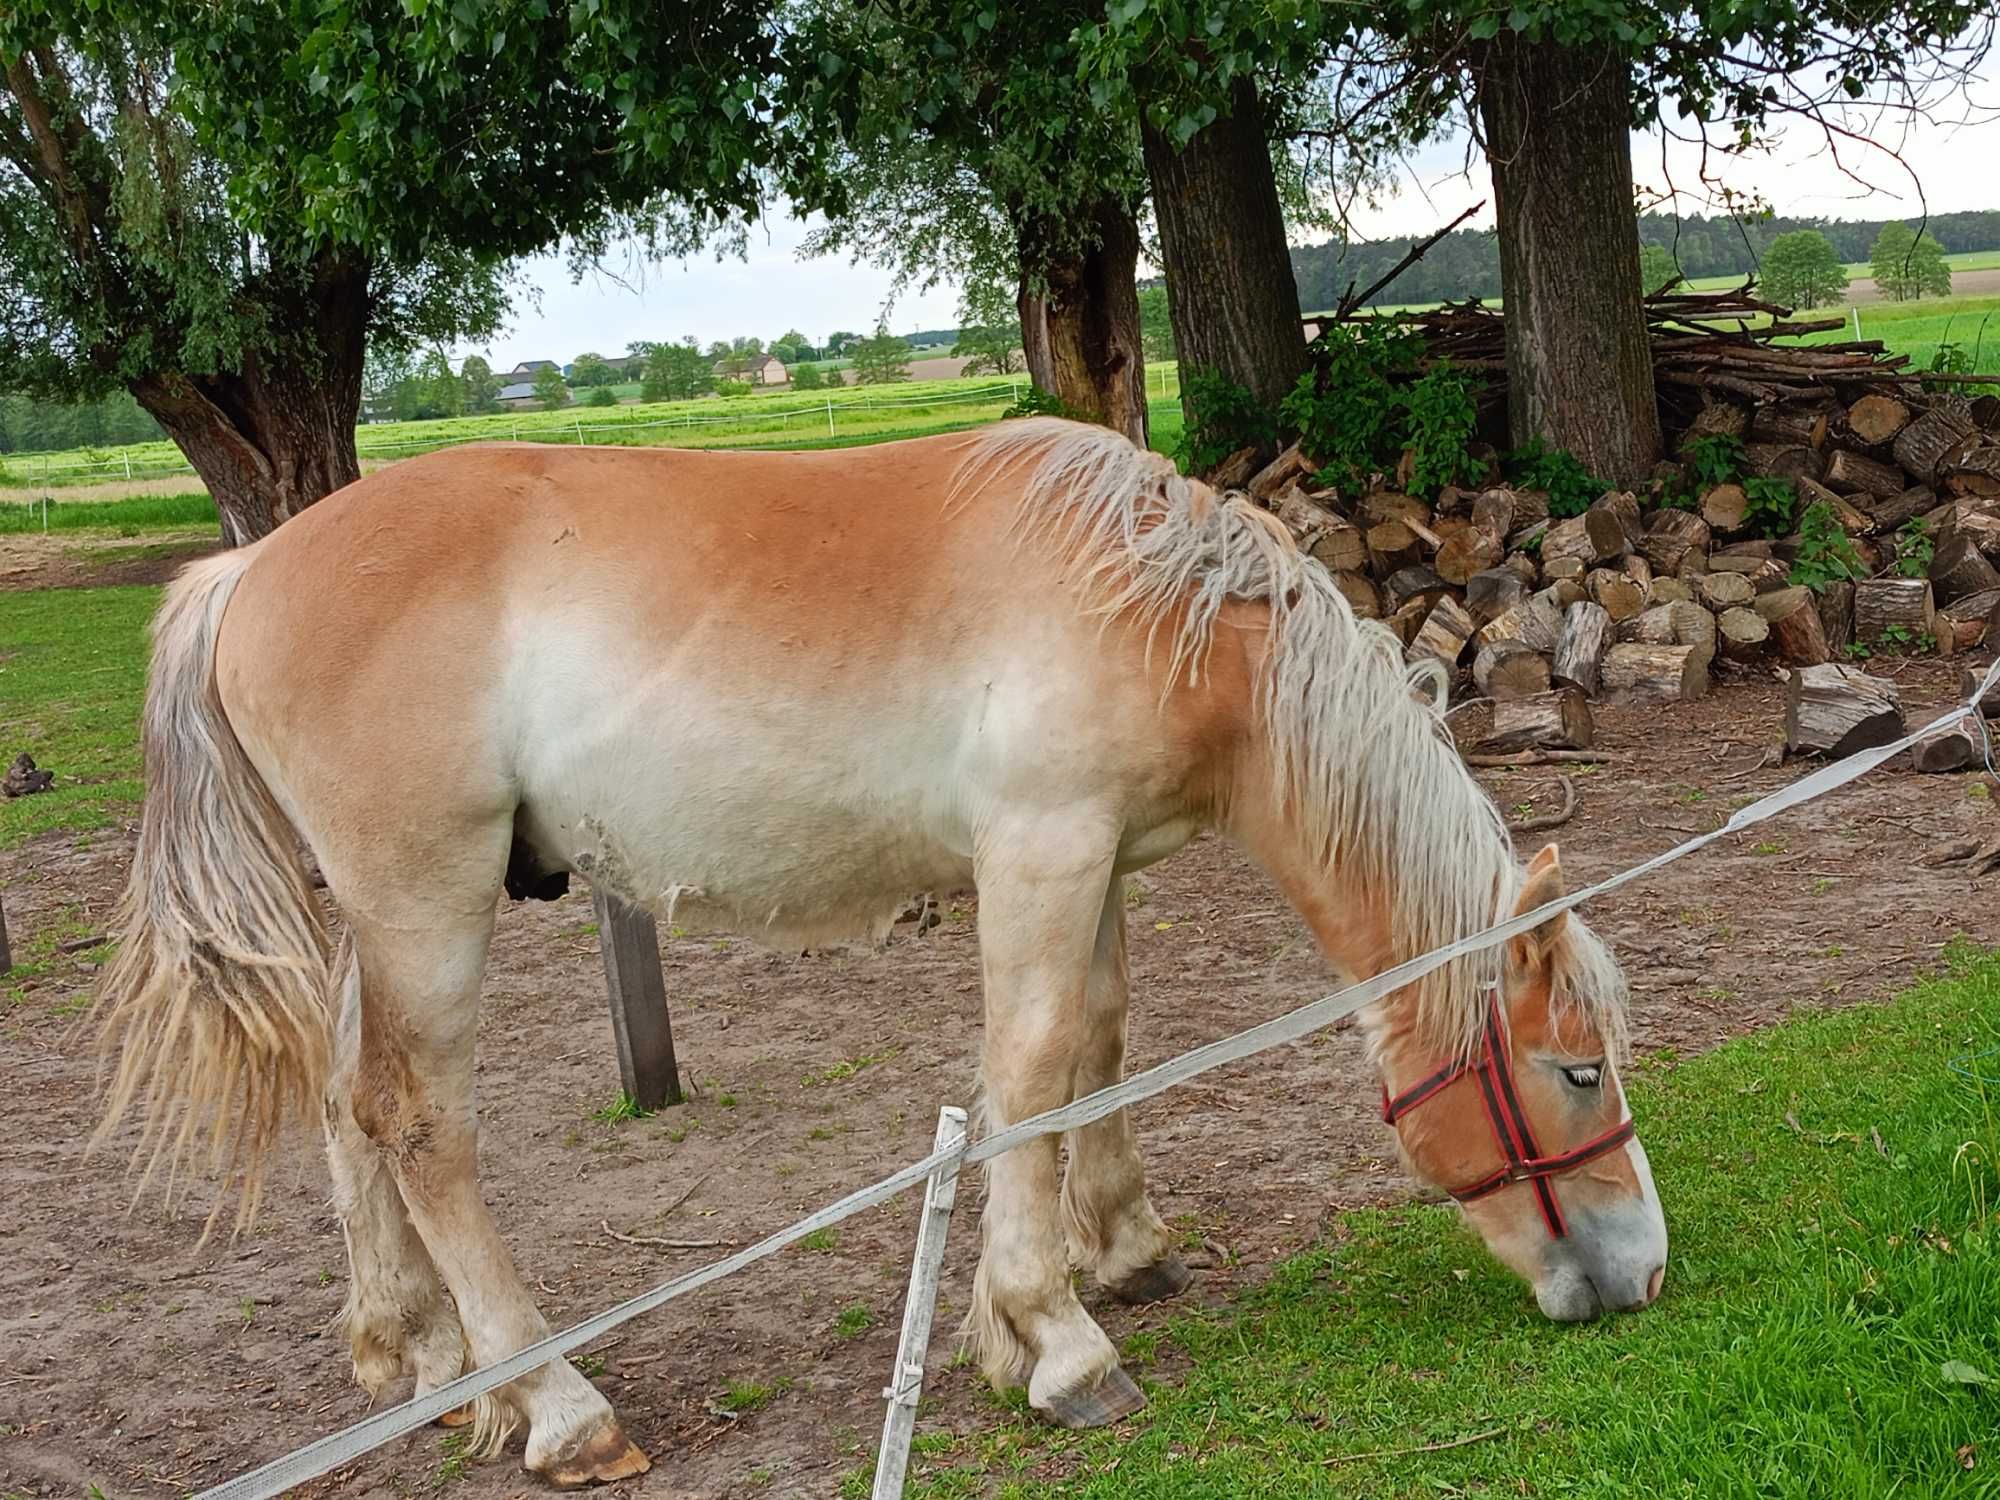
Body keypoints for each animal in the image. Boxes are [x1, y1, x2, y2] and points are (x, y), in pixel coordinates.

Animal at [101, 418, 1672, 1488]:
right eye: (1578, 1074)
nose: (1645, 1275)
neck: (1160, 605)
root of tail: (250, 565)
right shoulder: (1040, 850)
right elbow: (1029, 1071)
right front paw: (1055, 1340)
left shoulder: (1099, 861)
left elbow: (1100, 1041)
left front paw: (1119, 1252)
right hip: (424, 904)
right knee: (420, 1127)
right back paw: (557, 1404)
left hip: (365, 922)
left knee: (345, 1109)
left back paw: (425, 1361)